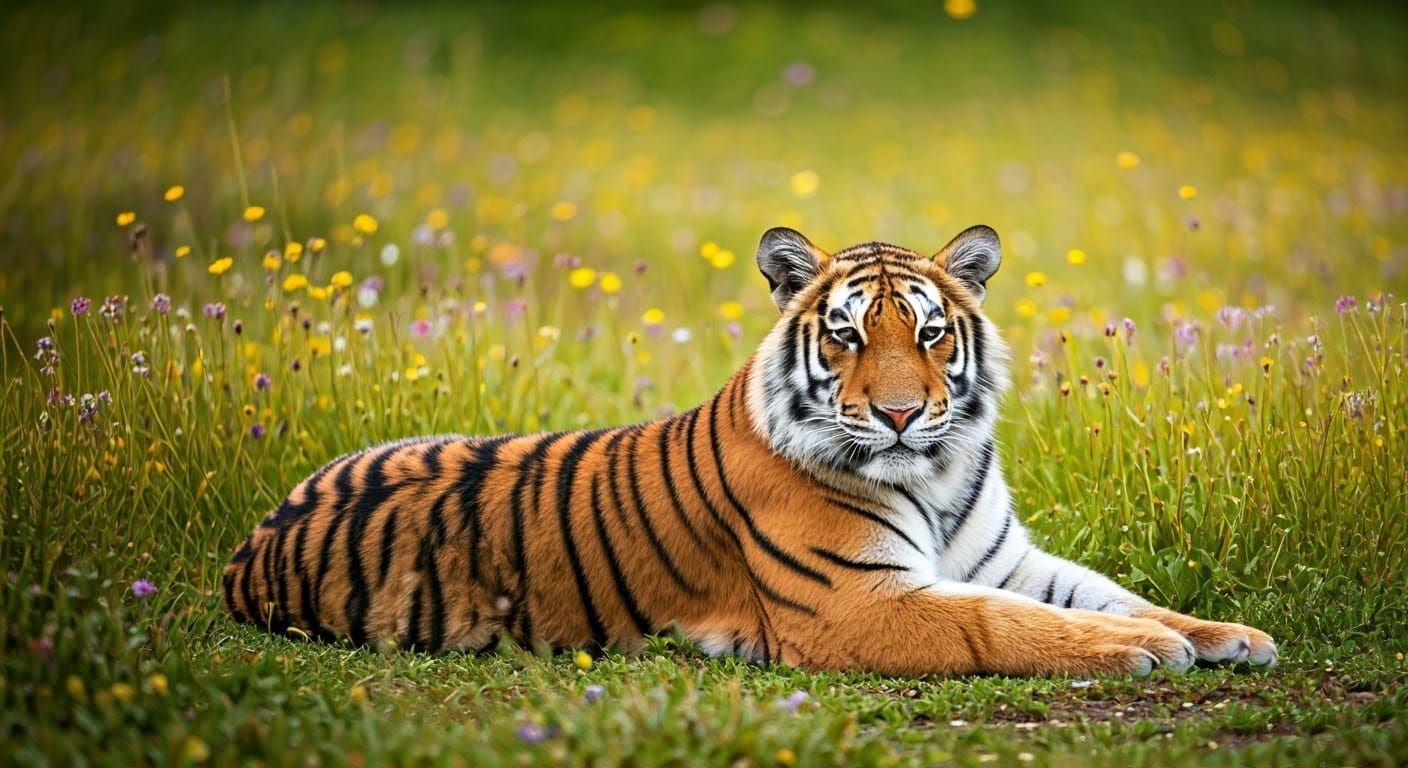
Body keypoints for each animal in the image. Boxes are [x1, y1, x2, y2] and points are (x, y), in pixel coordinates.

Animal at [222, 225, 1277, 677]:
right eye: (846, 336)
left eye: (931, 333)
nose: (901, 415)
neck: (934, 473)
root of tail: (249, 545)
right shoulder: (858, 605)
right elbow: (1011, 626)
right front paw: (1145, 652)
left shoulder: (1003, 560)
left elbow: (1106, 594)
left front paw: (1224, 634)